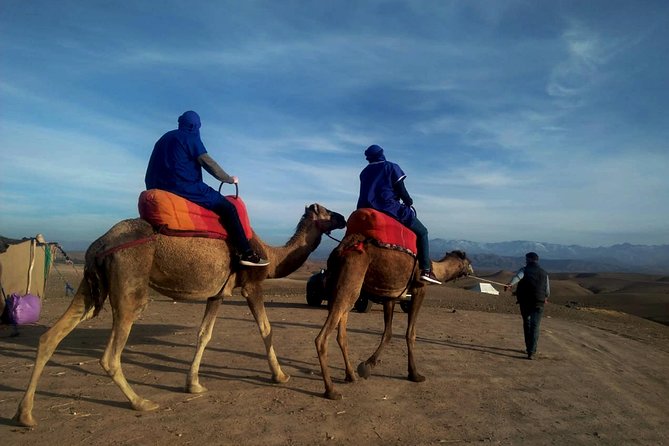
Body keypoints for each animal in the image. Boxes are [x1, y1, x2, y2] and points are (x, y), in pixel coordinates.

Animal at [15, 203, 346, 427]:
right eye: (326, 211)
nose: (343, 217)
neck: (272, 255)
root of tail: (98, 245)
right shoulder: (252, 285)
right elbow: (266, 329)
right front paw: (280, 375)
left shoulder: (217, 294)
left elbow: (204, 334)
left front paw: (193, 384)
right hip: (130, 284)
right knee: (110, 354)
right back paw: (141, 402)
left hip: (90, 286)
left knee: (50, 336)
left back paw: (25, 414)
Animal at [314, 233, 473, 400]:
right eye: (468, 262)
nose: (472, 270)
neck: (435, 268)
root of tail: (339, 251)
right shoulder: (419, 289)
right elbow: (411, 333)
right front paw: (414, 374)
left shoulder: (390, 296)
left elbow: (388, 333)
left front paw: (367, 365)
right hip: (350, 281)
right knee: (322, 338)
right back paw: (331, 390)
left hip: (344, 287)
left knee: (342, 334)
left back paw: (351, 376)